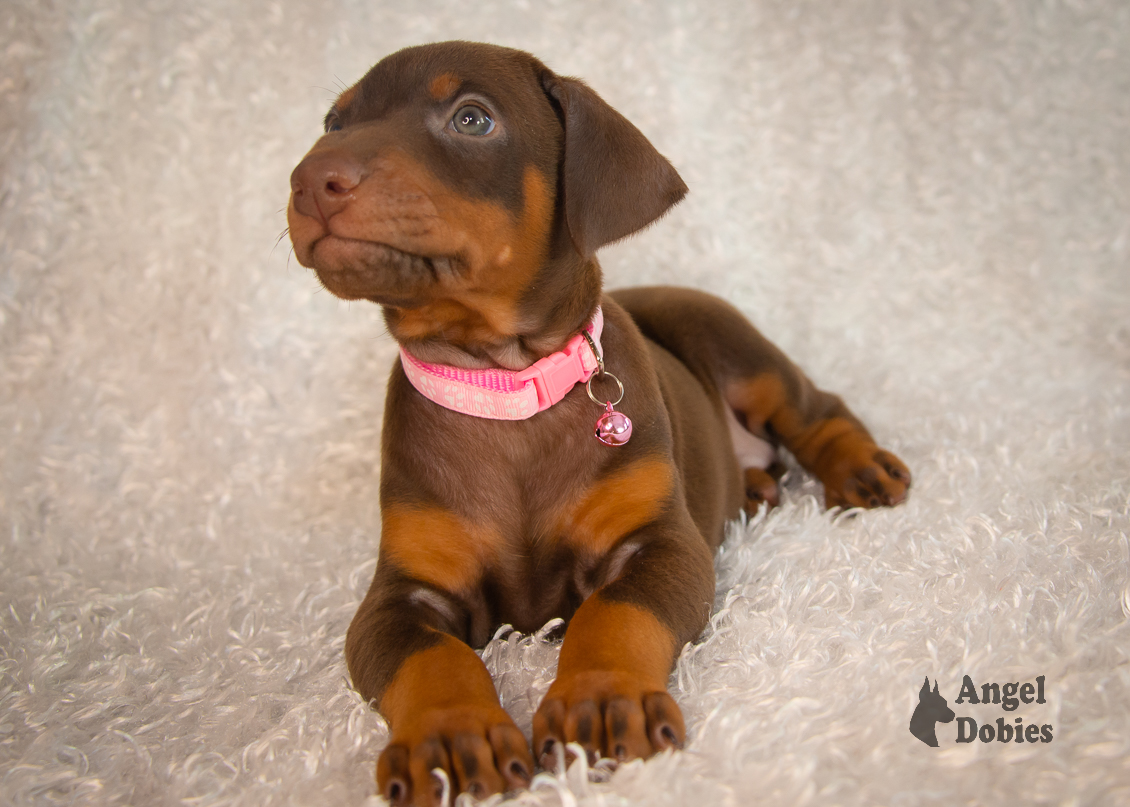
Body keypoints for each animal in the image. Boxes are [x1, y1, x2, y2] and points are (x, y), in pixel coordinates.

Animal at [289, 42, 908, 804]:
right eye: (333, 121)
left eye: (472, 118)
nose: (310, 180)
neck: (506, 386)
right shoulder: (401, 592)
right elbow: (430, 657)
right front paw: (450, 736)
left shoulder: (657, 544)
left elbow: (614, 614)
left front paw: (603, 697)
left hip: (729, 343)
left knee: (815, 406)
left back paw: (859, 466)